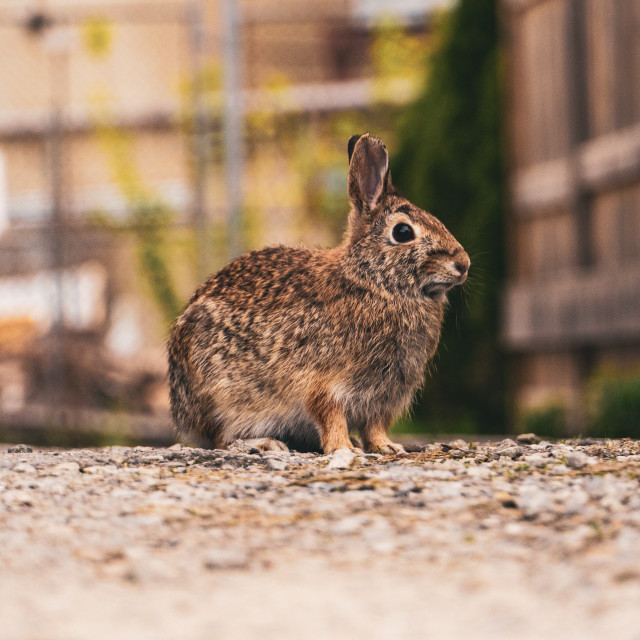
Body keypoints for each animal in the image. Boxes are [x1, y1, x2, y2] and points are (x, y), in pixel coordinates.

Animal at [168, 134, 470, 456]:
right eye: (403, 232)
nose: (463, 264)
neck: (374, 284)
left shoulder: (384, 397)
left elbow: (375, 427)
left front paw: (387, 447)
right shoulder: (324, 384)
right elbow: (331, 416)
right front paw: (345, 449)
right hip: (222, 397)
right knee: (220, 439)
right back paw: (266, 443)